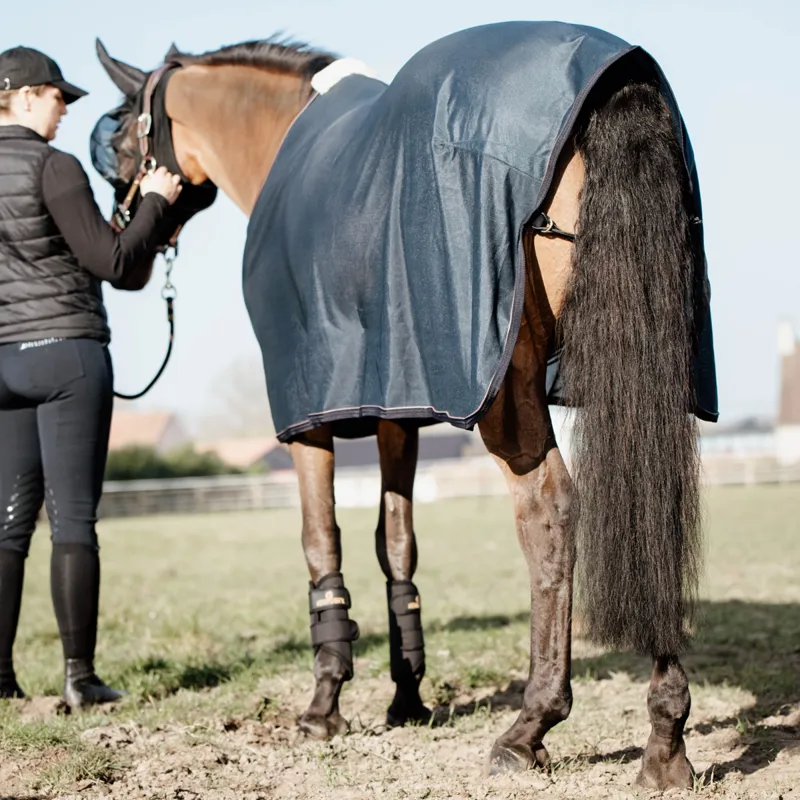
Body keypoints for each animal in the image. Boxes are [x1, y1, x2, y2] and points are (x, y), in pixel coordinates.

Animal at [89, 21, 720, 792]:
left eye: (120, 140)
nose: (128, 242)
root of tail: (616, 78)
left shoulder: (306, 417)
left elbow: (320, 542)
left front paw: (324, 705)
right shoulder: (398, 402)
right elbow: (397, 545)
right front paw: (407, 698)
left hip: (507, 392)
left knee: (548, 513)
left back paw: (530, 728)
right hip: (643, 371)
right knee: (651, 501)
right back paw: (665, 739)